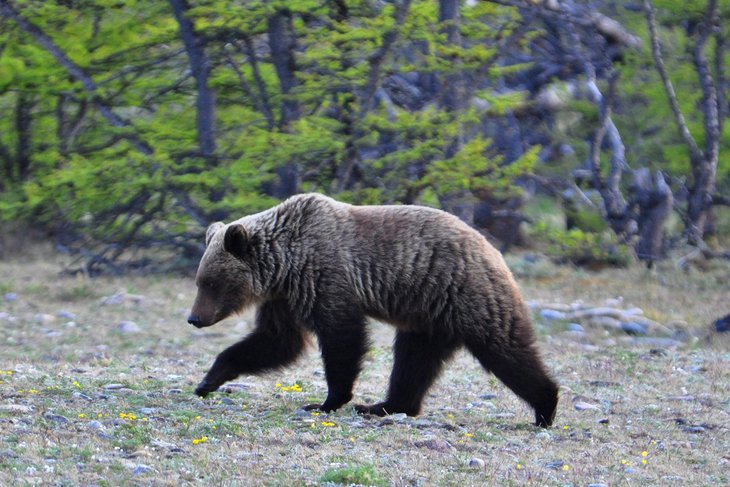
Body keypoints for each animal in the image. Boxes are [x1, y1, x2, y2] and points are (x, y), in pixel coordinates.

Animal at [188, 193, 556, 428]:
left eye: (211, 282)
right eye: (200, 280)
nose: (194, 318)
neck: (286, 263)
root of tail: (491, 248)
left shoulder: (325, 276)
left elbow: (342, 337)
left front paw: (326, 401)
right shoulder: (285, 297)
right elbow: (276, 341)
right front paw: (208, 380)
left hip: (466, 293)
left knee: (503, 348)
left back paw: (545, 406)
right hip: (429, 316)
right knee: (414, 361)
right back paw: (384, 405)